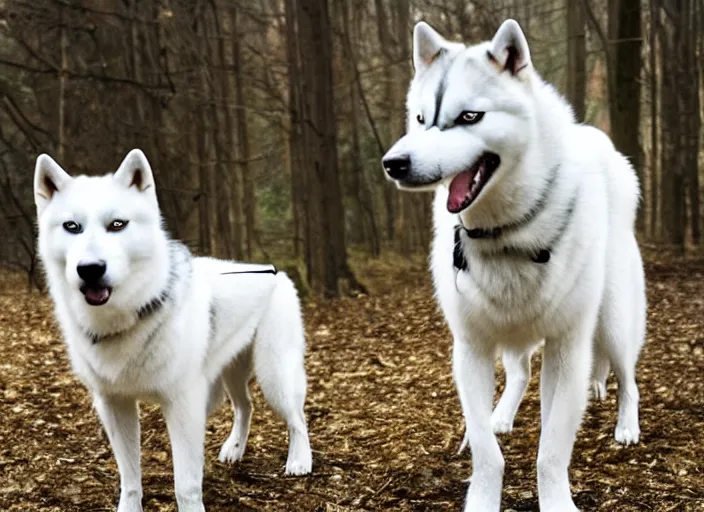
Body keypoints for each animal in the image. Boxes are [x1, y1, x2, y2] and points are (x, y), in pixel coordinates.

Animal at [33, 150, 312, 512]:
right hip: (229, 375)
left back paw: (300, 461)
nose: (91, 269)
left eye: (117, 225)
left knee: (297, 418)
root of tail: (277, 272)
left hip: (273, 376)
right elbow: (130, 479)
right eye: (72, 227)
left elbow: (186, 486)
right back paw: (234, 449)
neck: (134, 312)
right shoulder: (115, 405)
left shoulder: (181, 405)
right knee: (245, 406)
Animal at [382, 20, 648, 512]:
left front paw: (557, 501)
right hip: (510, 333)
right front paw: (483, 491)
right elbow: (488, 455)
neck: (507, 233)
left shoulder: (568, 349)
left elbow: (551, 452)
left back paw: (626, 426)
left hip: (615, 324)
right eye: (422, 119)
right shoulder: (470, 349)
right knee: (521, 372)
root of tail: (597, 139)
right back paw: (499, 415)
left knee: (627, 377)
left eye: (470, 117)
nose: (394, 164)